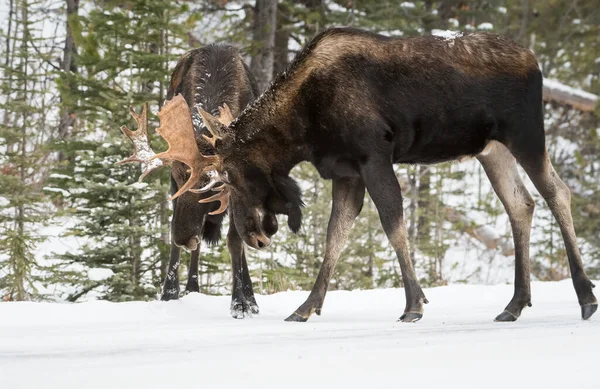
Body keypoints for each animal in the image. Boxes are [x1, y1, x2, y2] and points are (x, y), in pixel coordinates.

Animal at [124, 27, 596, 322]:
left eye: (234, 177)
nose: (257, 236)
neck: (305, 125)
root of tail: (535, 61)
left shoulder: (374, 156)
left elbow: (392, 224)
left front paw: (414, 303)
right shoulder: (346, 172)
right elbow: (335, 236)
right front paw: (305, 307)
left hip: (527, 134)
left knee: (558, 193)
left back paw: (586, 296)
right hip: (490, 150)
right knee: (522, 204)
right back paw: (515, 303)